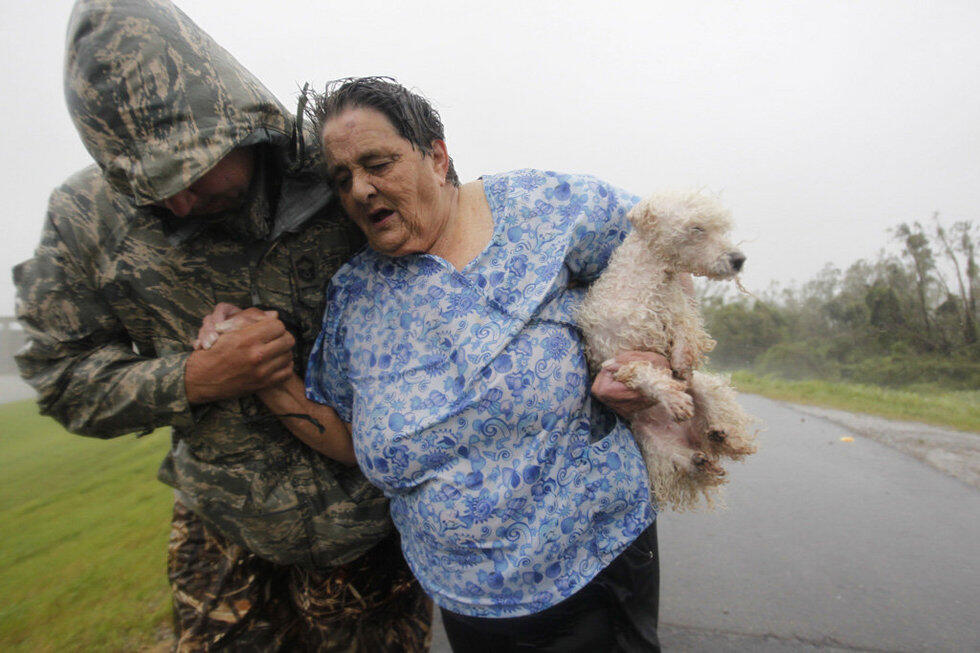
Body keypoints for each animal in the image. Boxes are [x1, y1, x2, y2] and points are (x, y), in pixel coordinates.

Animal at [580, 191, 756, 512]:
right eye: (697, 228)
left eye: (723, 229)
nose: (739, 259)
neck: (647, 287)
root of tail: (692, 438)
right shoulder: (614, 359)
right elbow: (644, 373)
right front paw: (671, 396)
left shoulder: (681, 312)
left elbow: (686, 331)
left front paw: (681, 361)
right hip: (652, 445)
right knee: (686, 462)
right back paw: (699, 459)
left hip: (709, 390)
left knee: (722, 429)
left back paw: (721, 435)